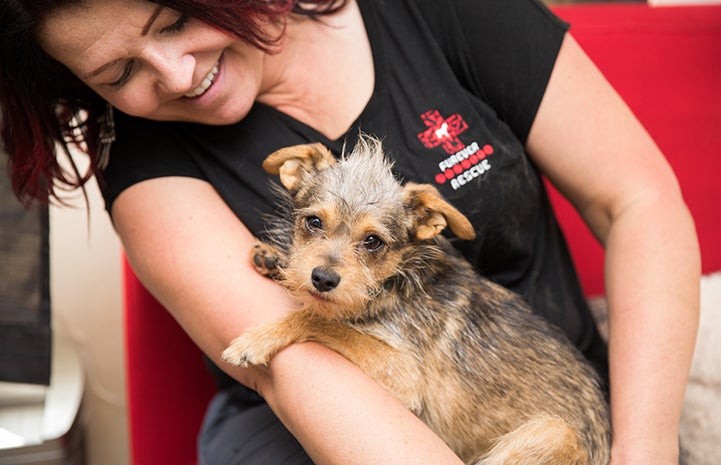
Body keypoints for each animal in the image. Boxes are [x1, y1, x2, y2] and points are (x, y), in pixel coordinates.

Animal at [222, 136, 612, 462]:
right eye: (314, 222)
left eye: (373, 242)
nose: (323, 278)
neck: (393, 282)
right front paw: (276, 259)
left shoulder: (406, 375)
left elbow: (323, 320)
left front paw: (258, 339)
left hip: (553, 433)